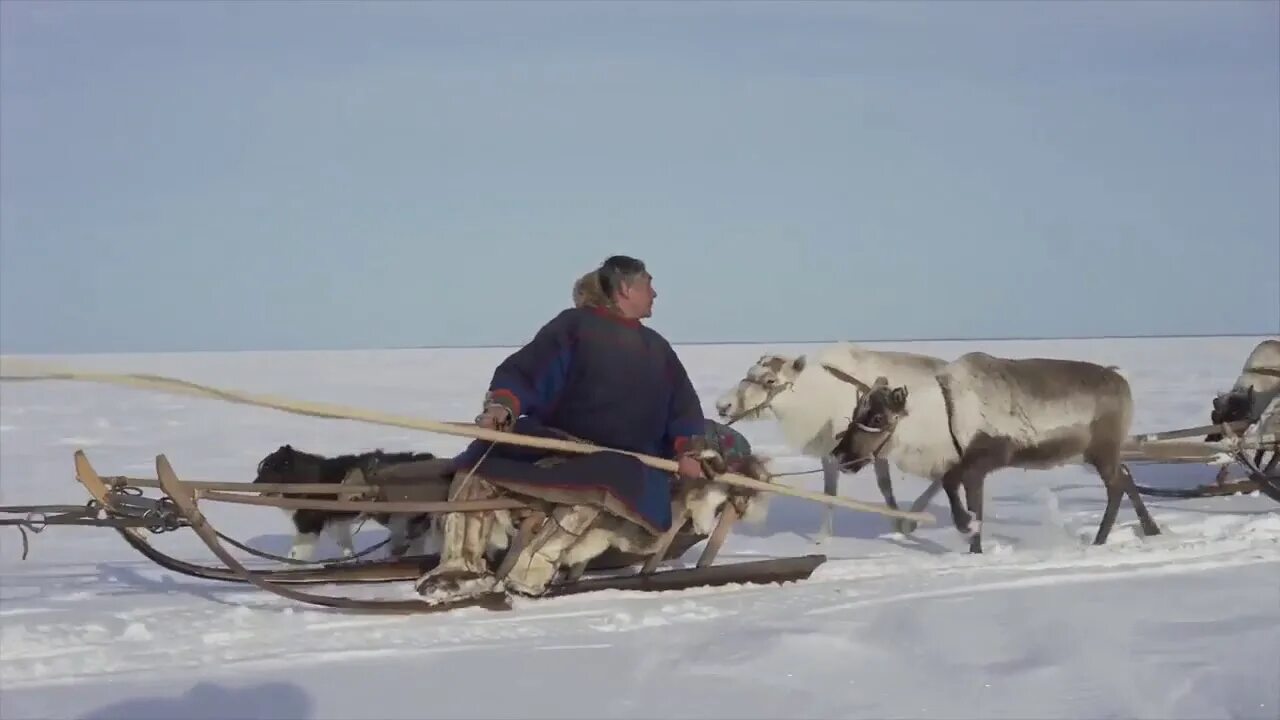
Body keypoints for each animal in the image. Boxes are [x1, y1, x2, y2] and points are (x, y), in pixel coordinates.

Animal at [252, 443, 442, 561]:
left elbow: (295, 554)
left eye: (267, 470)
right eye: (260, 469)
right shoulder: (338, 524)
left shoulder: (309, 525)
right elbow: (347, 548)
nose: (252, 485)